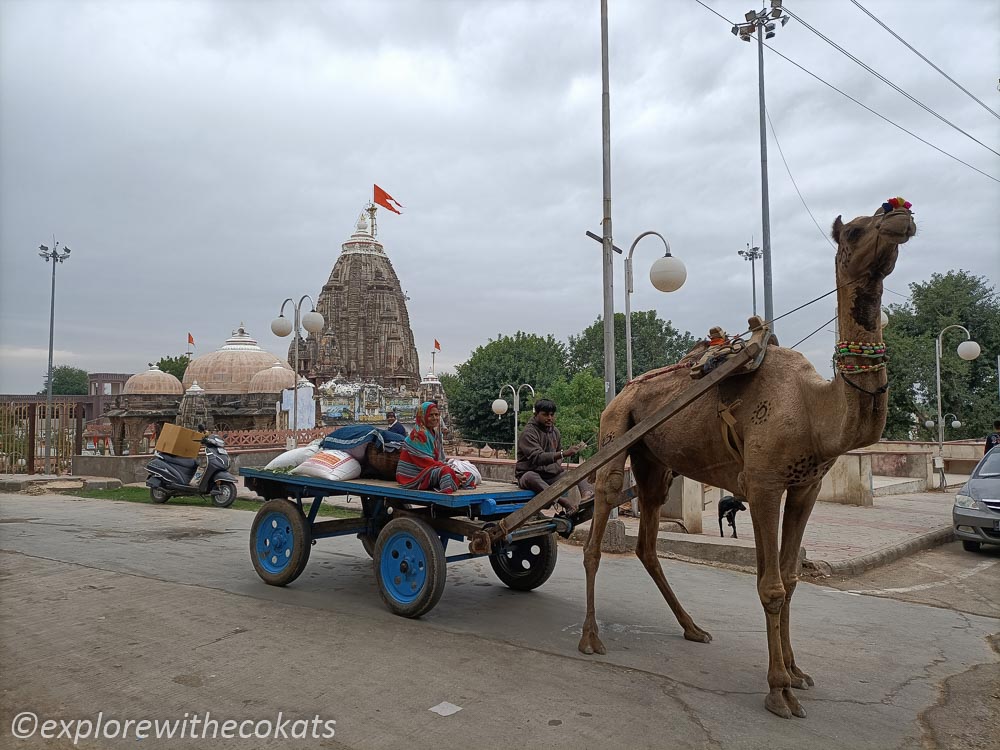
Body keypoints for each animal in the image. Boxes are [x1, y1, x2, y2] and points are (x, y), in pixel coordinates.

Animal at [580, 201, 916, 724]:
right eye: (856, 231)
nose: (899, 215)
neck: (813, 408)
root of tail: (623, 392)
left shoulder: (804, 486)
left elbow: (792, 578)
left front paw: (797, 672)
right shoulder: (762, 484)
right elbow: (770, 585)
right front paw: (779, 691)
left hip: (654, 462)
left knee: (648, 544)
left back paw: (693, 627)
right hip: (615, 436)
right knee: (599, 523)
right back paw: (591, 637)